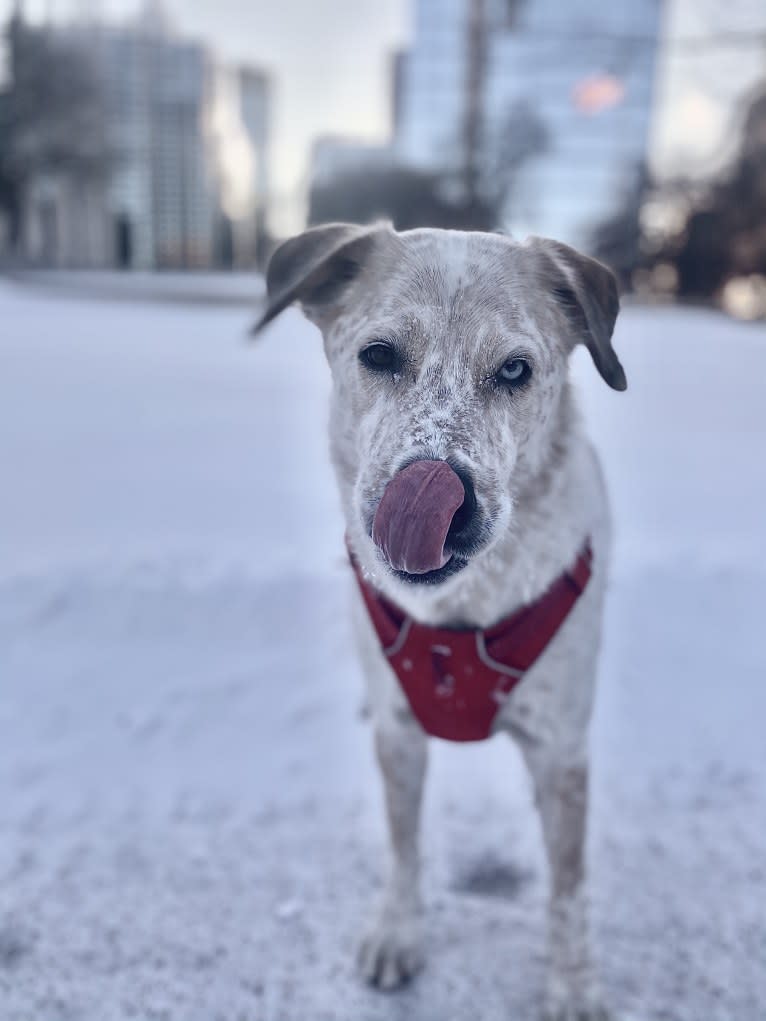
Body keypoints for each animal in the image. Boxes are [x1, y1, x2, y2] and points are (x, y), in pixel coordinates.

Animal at [255, 223, 625, 1021]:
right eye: (379, 354)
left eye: (515, 368)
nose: (438, 496)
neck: (461, 613)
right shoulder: (399, 733)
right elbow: (403, 844)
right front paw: (397, 932)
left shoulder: (561, 749)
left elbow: (569, 883)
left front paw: (574, 985)